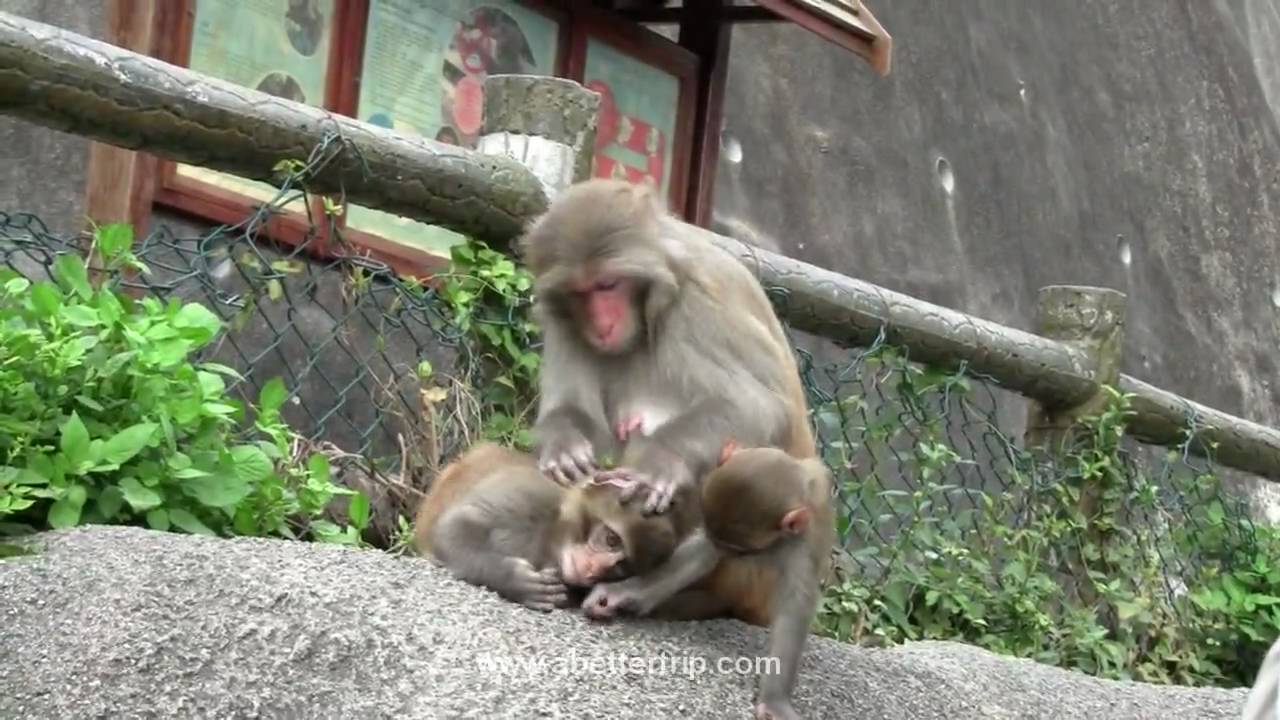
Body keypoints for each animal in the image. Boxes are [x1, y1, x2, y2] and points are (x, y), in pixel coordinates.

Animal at [411, 442, 697, 611]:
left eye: (621, 567)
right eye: (611, 540)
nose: (594, 570)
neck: (554, 535)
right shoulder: (532, 494)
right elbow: (455, 527)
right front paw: (514, 580)